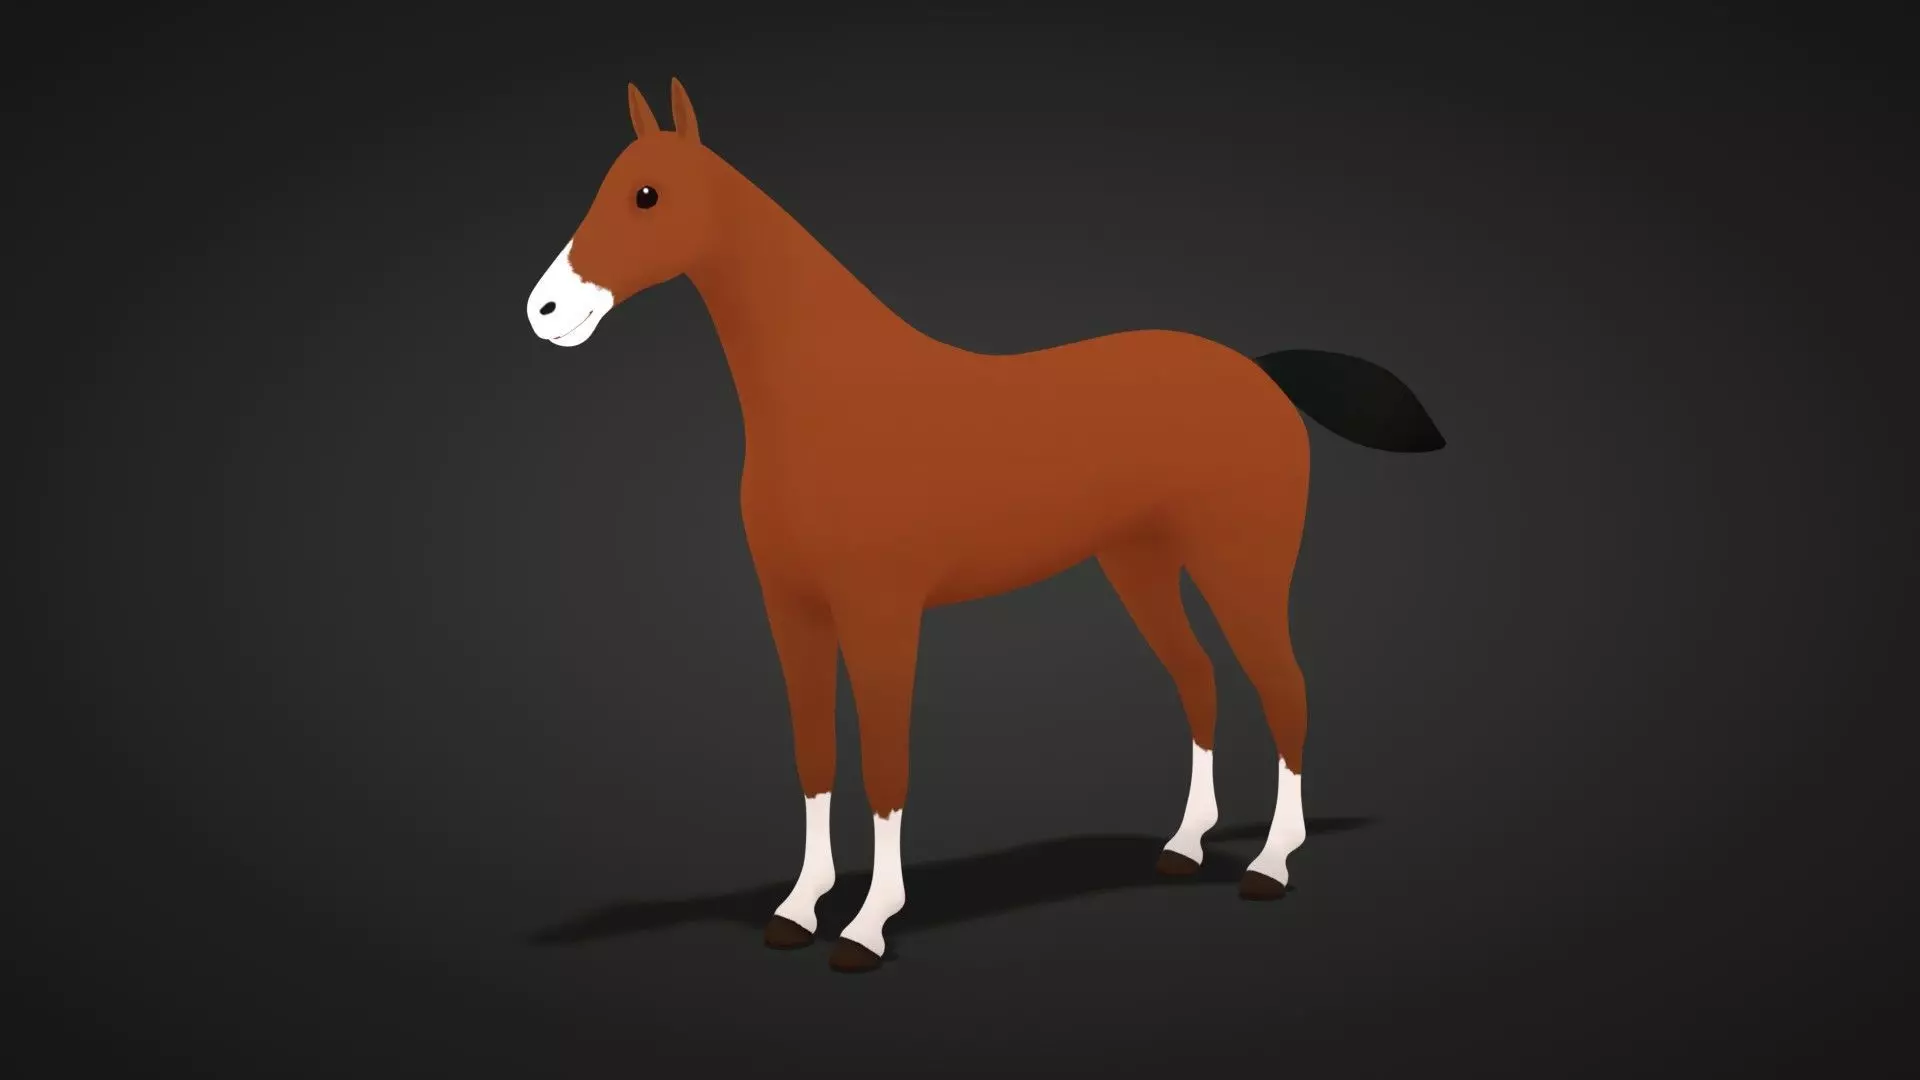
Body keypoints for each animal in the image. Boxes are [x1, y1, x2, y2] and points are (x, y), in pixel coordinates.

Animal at [524, 79, 1446, 973]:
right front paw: (796, 910)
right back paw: (1184, 847)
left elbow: (884, 767)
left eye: (646, 194)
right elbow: (815, 758)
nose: (545, 310)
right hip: (1140, 567)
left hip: (1240, 567)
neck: (833, 392)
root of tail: (1258, 372)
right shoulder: (792, 612)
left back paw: (1270, 865)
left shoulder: (882, 614)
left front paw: (867, 926)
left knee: (1284, 689)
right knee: (1201, 681)